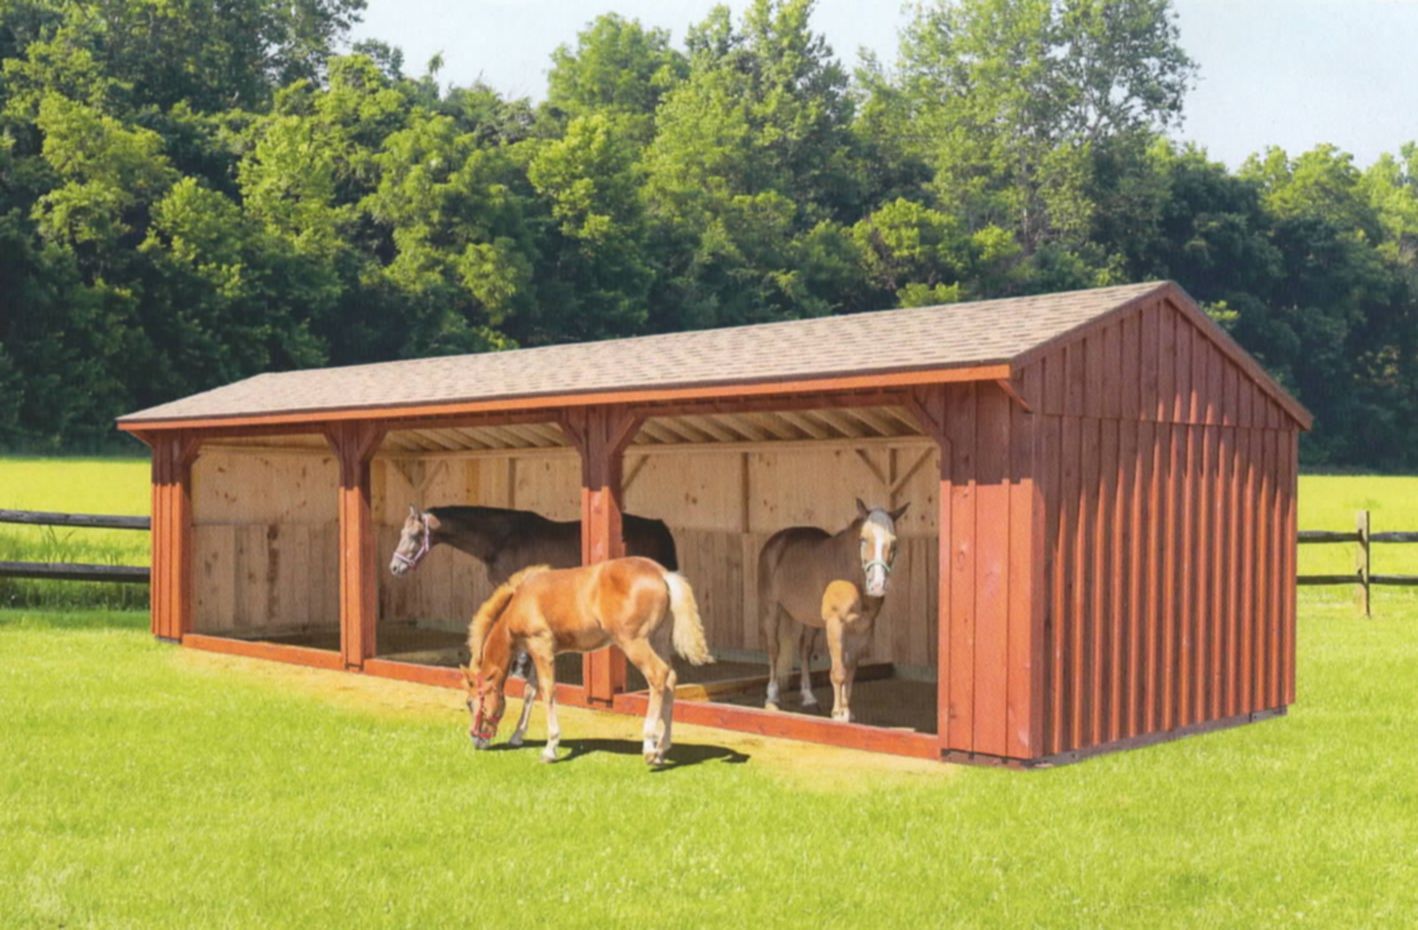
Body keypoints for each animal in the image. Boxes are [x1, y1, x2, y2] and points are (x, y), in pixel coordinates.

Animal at [461, 558, 712, 765]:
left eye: (470, 702)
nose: (476, 740)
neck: (521, 601)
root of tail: (662, 574)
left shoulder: (541, 648)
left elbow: (548, 691)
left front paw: (550, 749)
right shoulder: (536, 653)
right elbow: (530, 692)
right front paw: (517, 736)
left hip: (634, 642)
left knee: (658, 676)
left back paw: (650, 748)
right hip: (658, 641)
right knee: (670, 679)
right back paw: (662, 748)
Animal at [757, 499, 909, 723]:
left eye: (894, 542)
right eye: (863, 539)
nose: (877, 586)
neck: (850, 575)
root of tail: (776, 541)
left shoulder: (862, 630)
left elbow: (851, 670)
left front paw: (848, 711)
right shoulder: (835, 625)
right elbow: (838, 672)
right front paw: (838, 713)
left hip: (810, 619)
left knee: (804, 651)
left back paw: (809, 697)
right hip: (771, 609)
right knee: (774, 649)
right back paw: (772, 697)